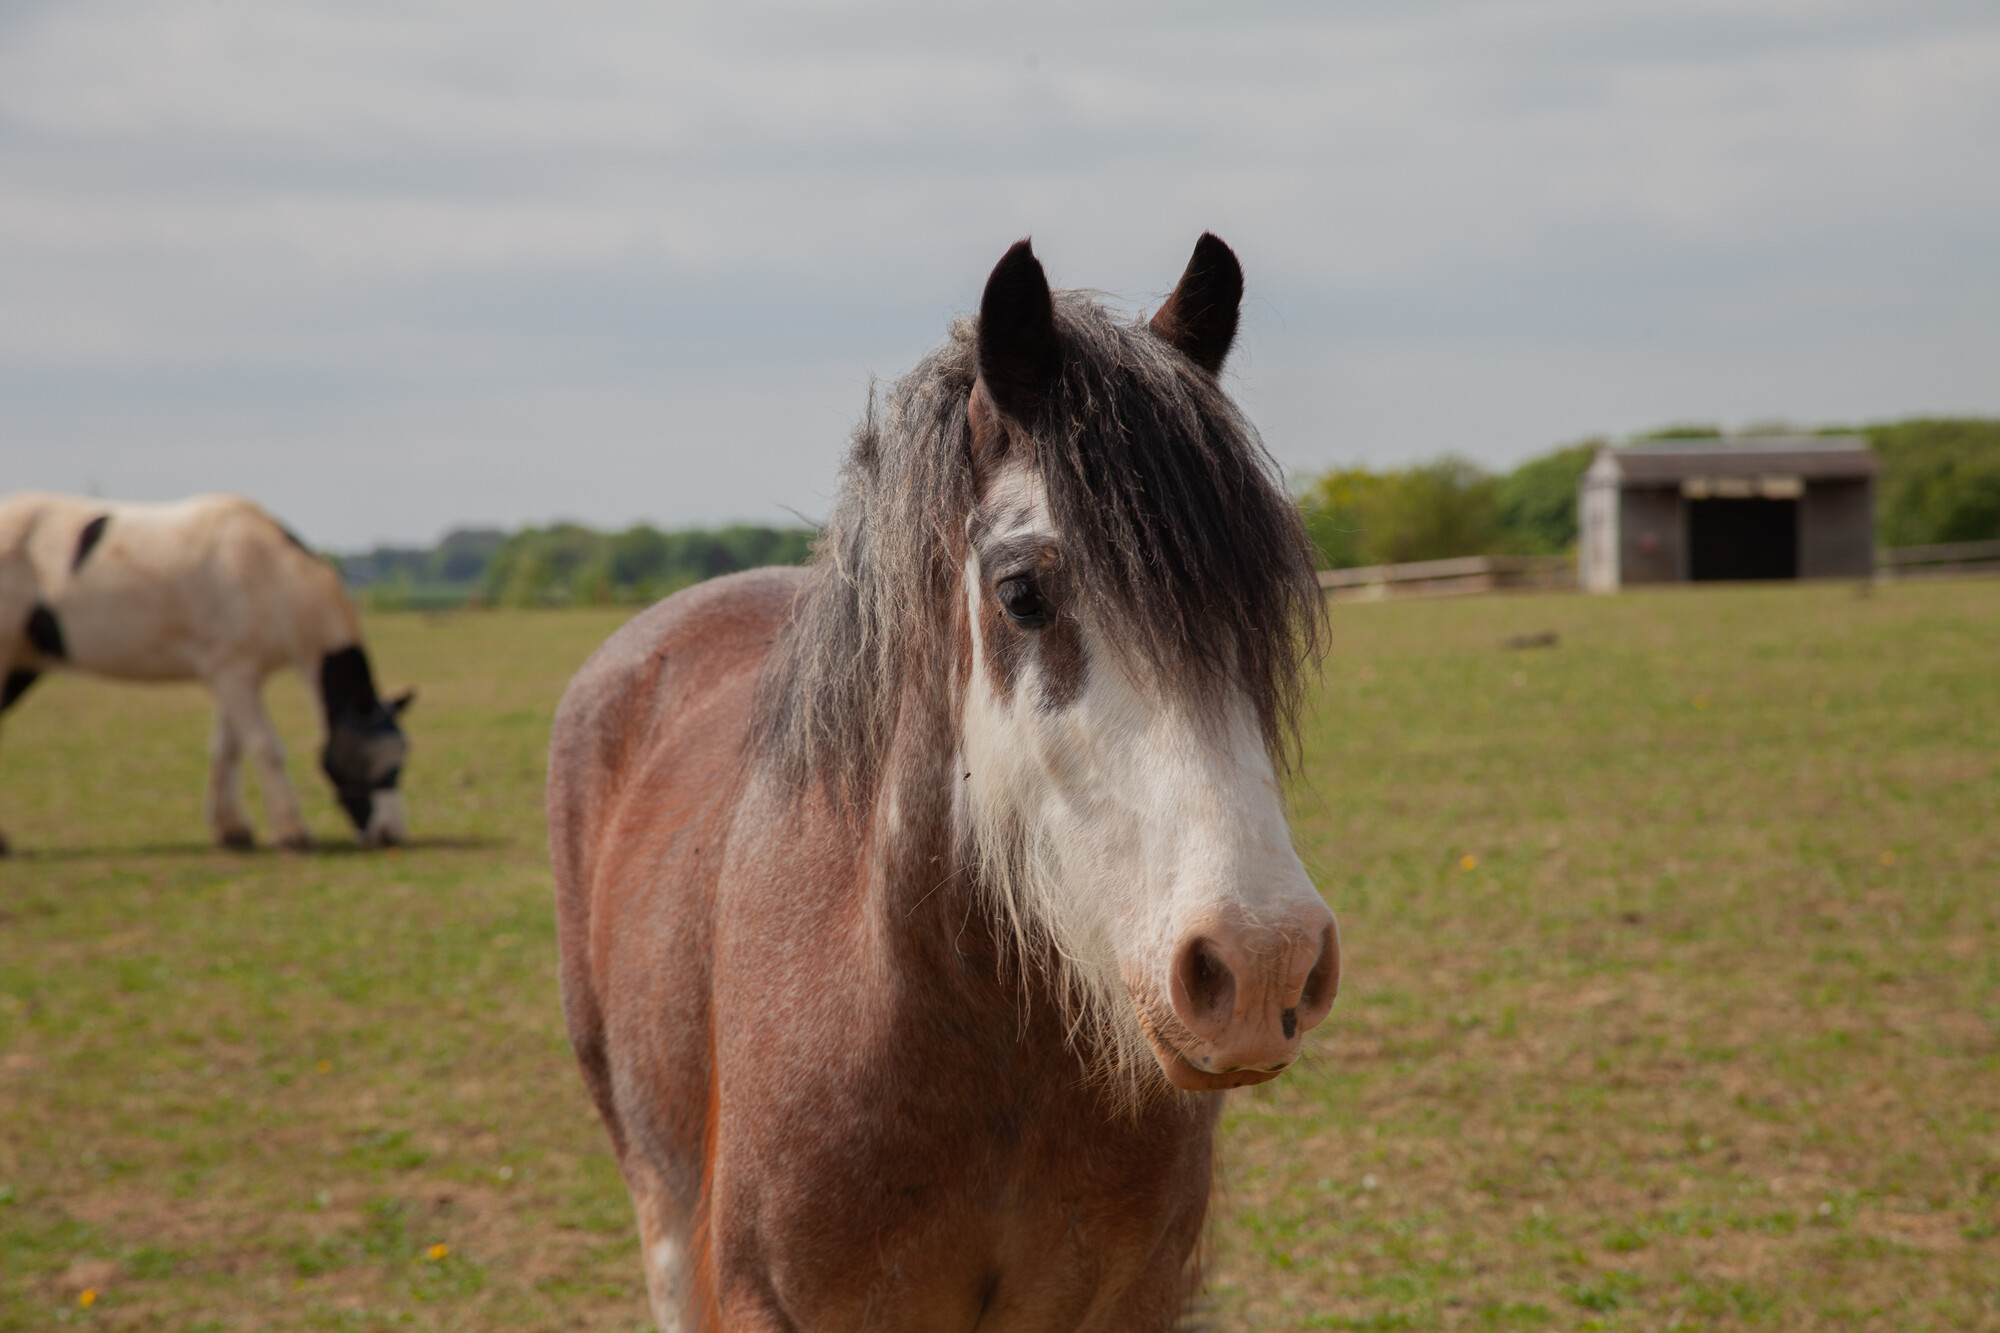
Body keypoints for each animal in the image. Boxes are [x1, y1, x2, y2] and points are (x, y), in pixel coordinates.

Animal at [0, 490, 412, 852]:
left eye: (400, 762)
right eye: (368, 760)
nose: (388, 834)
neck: (272, 578)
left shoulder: (236, 673)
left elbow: (226, 748)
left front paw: (232, 828)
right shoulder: (233, 672)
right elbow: (263, 747)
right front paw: (292, 832)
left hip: (23, 663)